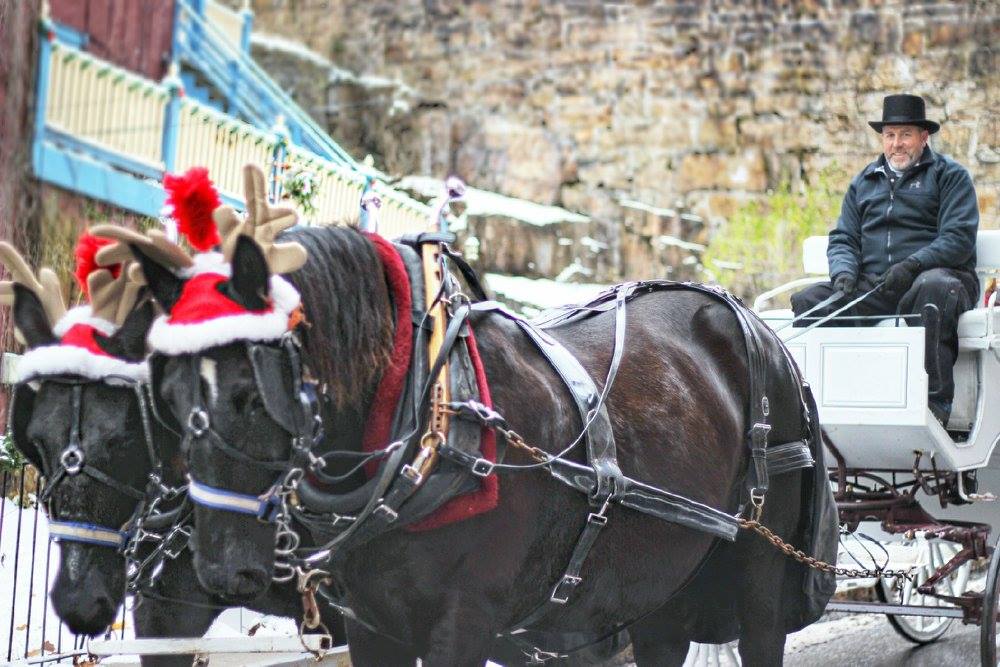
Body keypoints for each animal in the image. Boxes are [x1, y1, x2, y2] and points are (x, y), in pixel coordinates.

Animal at [133, 227, 832, 664]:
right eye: (166, 397)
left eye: (256, 396)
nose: (220, 567)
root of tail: (758, 327)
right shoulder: (371, 626)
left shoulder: (466, 619)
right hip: (661, 580)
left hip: (759, 571)